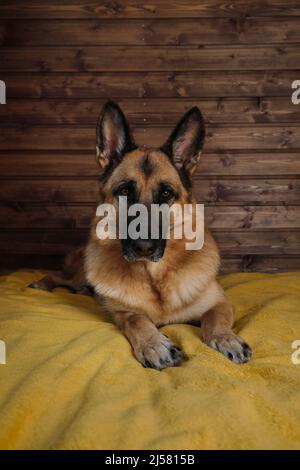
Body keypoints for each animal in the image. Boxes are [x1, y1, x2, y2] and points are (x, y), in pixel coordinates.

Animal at [30, 101, 252, 370]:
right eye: (125, 191)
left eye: (166, 193)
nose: (143, 247)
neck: (154, 277)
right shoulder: (122, 312)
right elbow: (137, 320)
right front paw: (154, 345)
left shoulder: (219, 302)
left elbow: (215, 319)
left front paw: (227, 338)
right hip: (77, 275)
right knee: (59, 276)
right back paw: (42, 284)